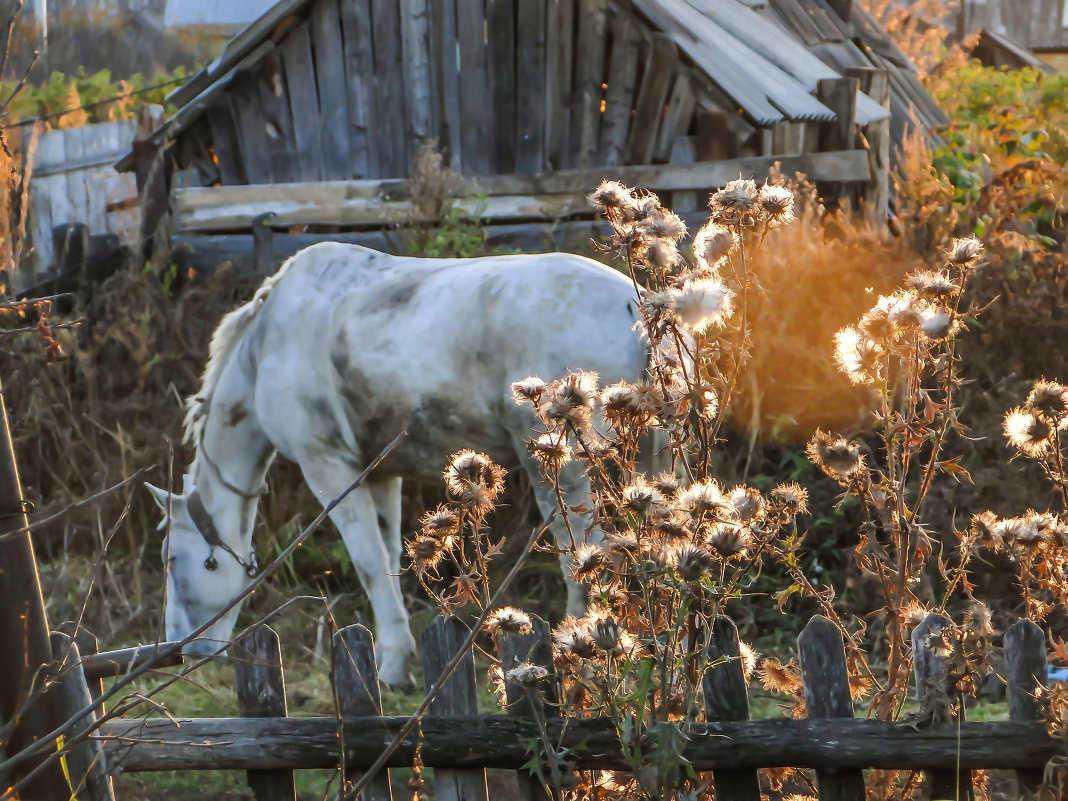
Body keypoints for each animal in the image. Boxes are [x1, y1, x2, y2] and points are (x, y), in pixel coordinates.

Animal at [146, 241, 645, 687]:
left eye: (172, 560)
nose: (182, 653)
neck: (267, 342)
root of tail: (629, 303)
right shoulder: (381, 473)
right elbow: (386, 556)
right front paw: (395, 658)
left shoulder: (327, 465)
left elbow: (367, 561)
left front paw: (392, 668)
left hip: (564, 470)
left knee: (586, 555)